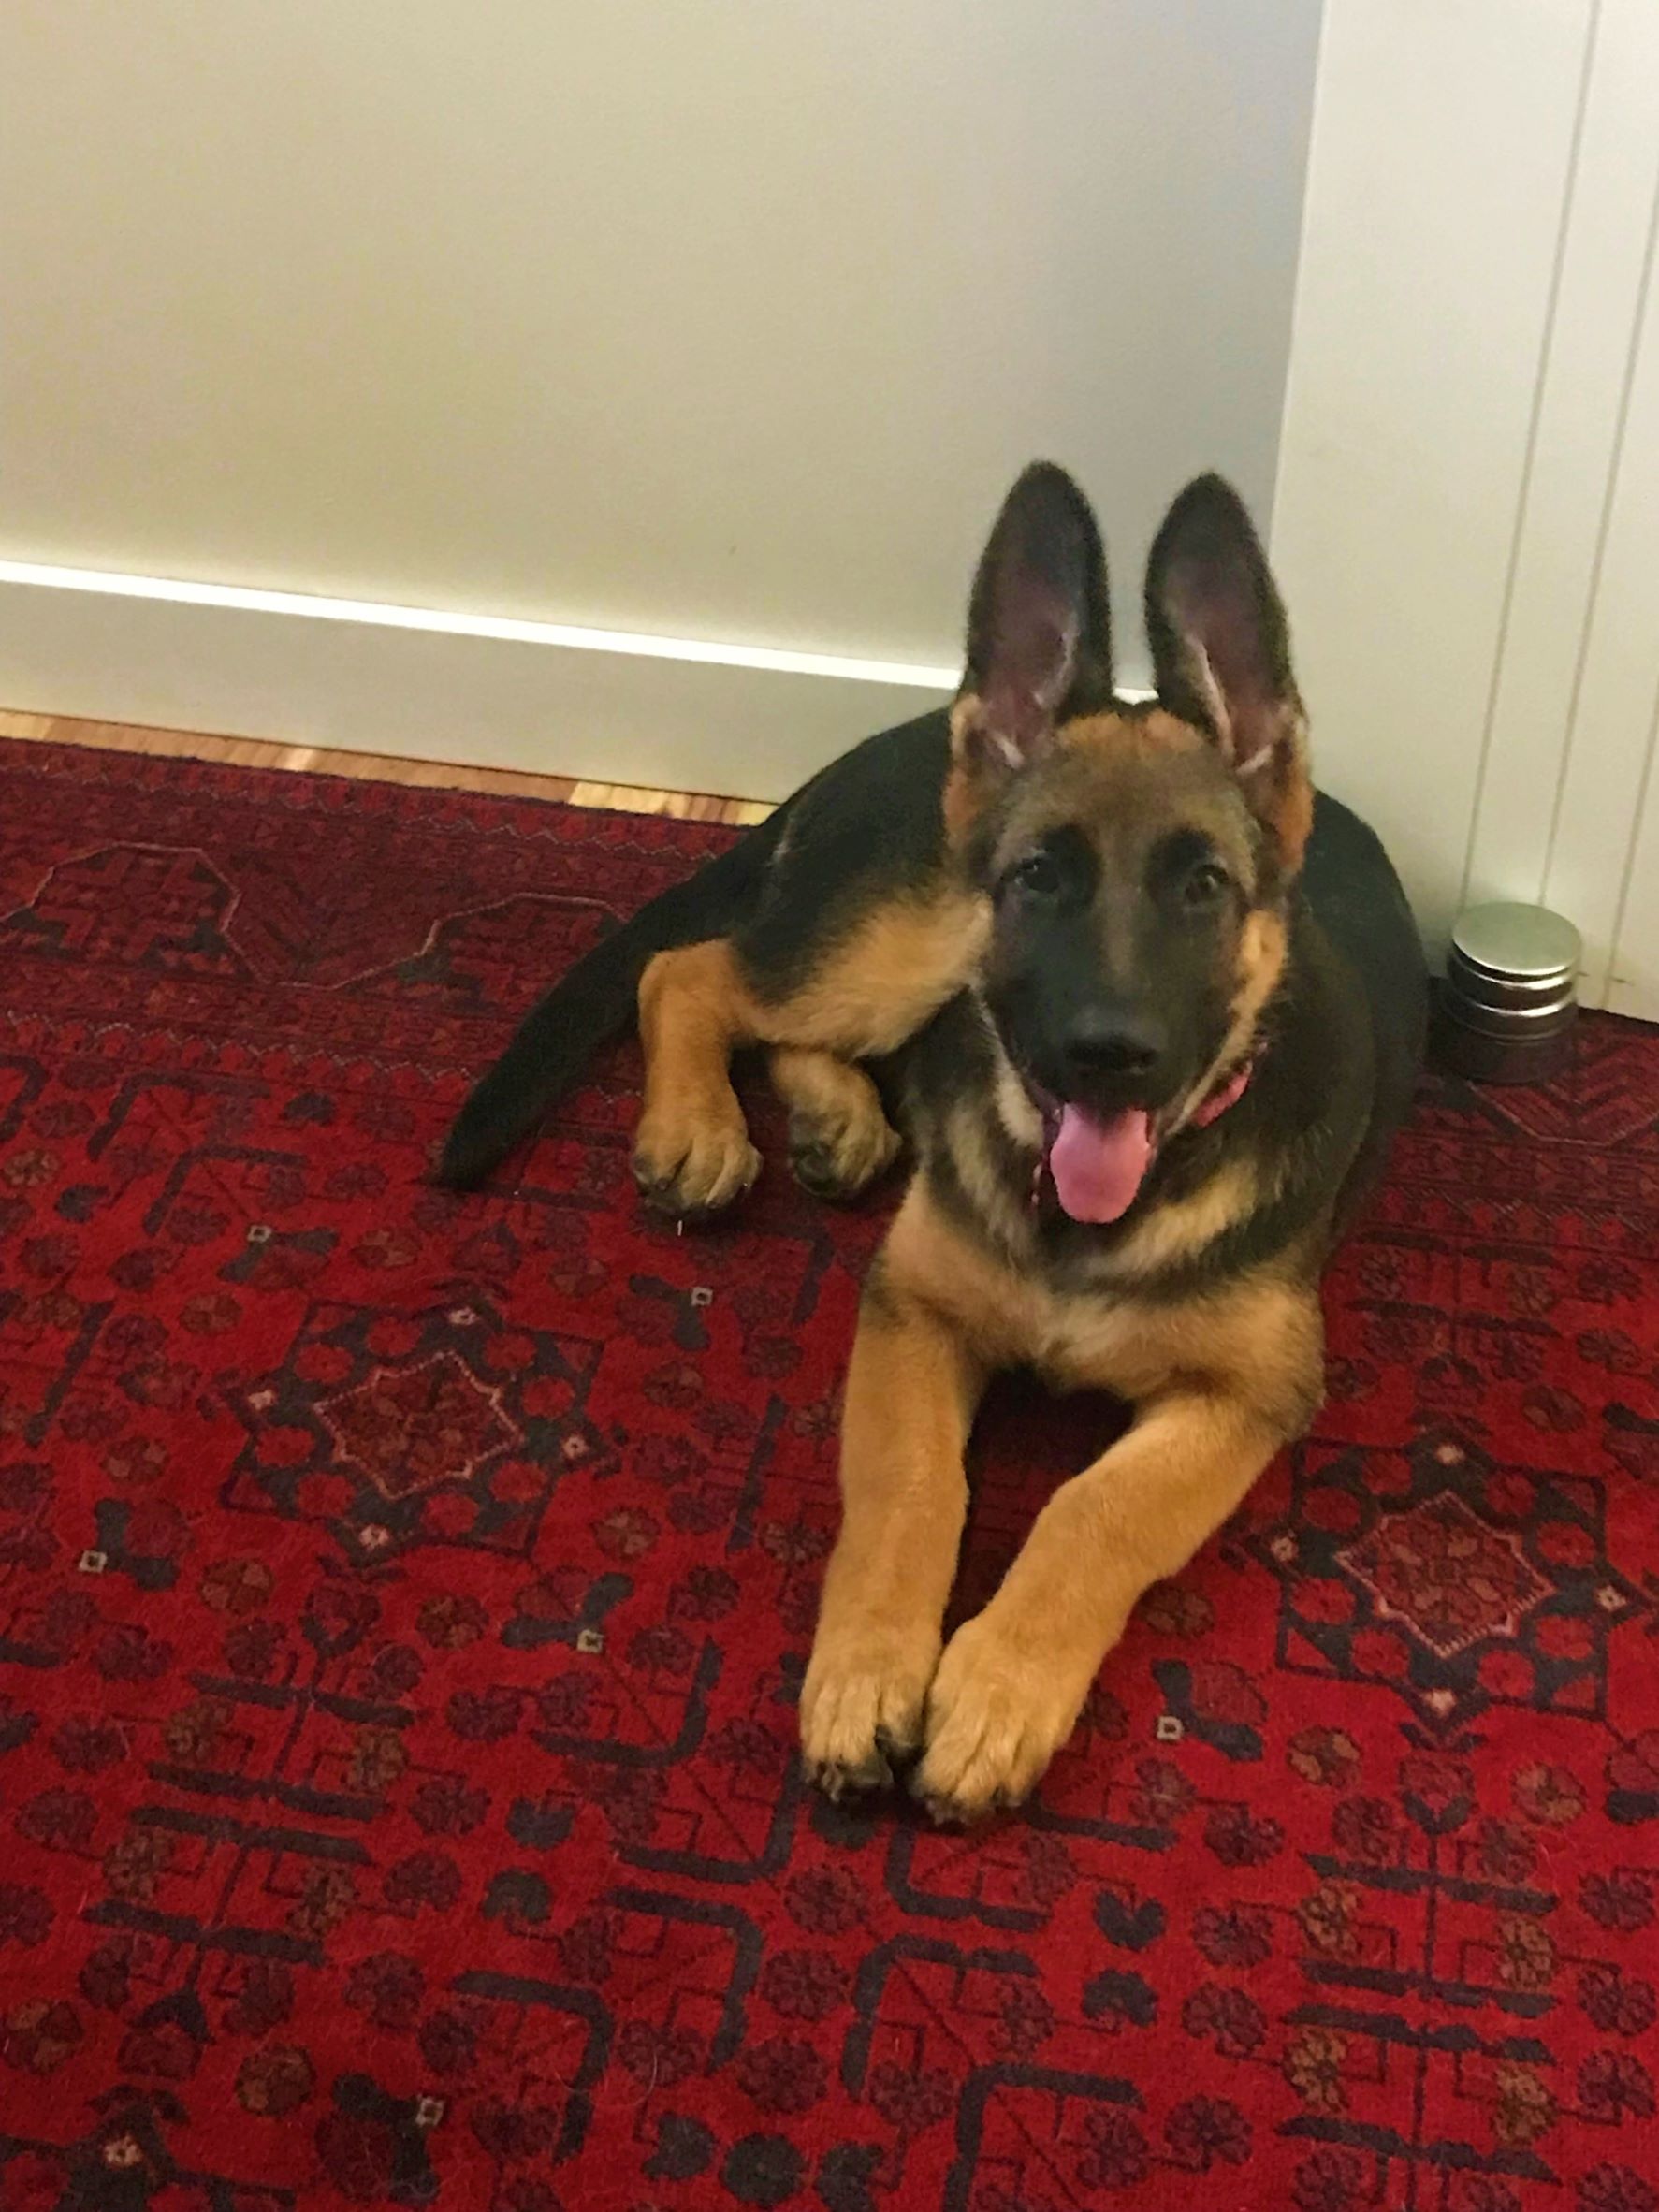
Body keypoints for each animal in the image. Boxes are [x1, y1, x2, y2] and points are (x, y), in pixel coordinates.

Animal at [442, 462, 1433, 1813]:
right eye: (1037, 878)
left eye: (1203, 889)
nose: (1105, 1054)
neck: (1086, 1223)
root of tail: (903, 733)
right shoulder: (915, 1314)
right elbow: (912, 1487)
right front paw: (869, 1673)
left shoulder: (1245, 1398)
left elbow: (1094, 1511)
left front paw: (997, 1691)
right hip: (905, 943)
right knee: (693, 973)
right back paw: (703, 1125)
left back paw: (838, 1122)